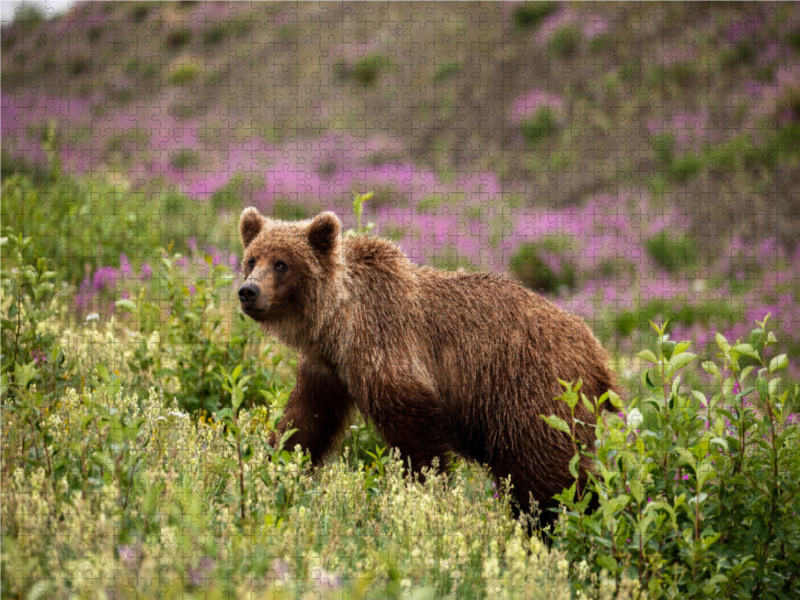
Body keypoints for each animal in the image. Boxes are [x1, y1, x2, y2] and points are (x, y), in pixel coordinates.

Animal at [234, 209, 620, 528]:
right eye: (251, 259)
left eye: (282, 263)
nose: (248, 291)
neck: (339, 321)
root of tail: (599, 354)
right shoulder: (327, 370)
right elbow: (303, 424)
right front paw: (270, 467)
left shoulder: (386, 343)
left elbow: (417, 435)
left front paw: (424, 495)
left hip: (534, 393)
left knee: (551, 475)